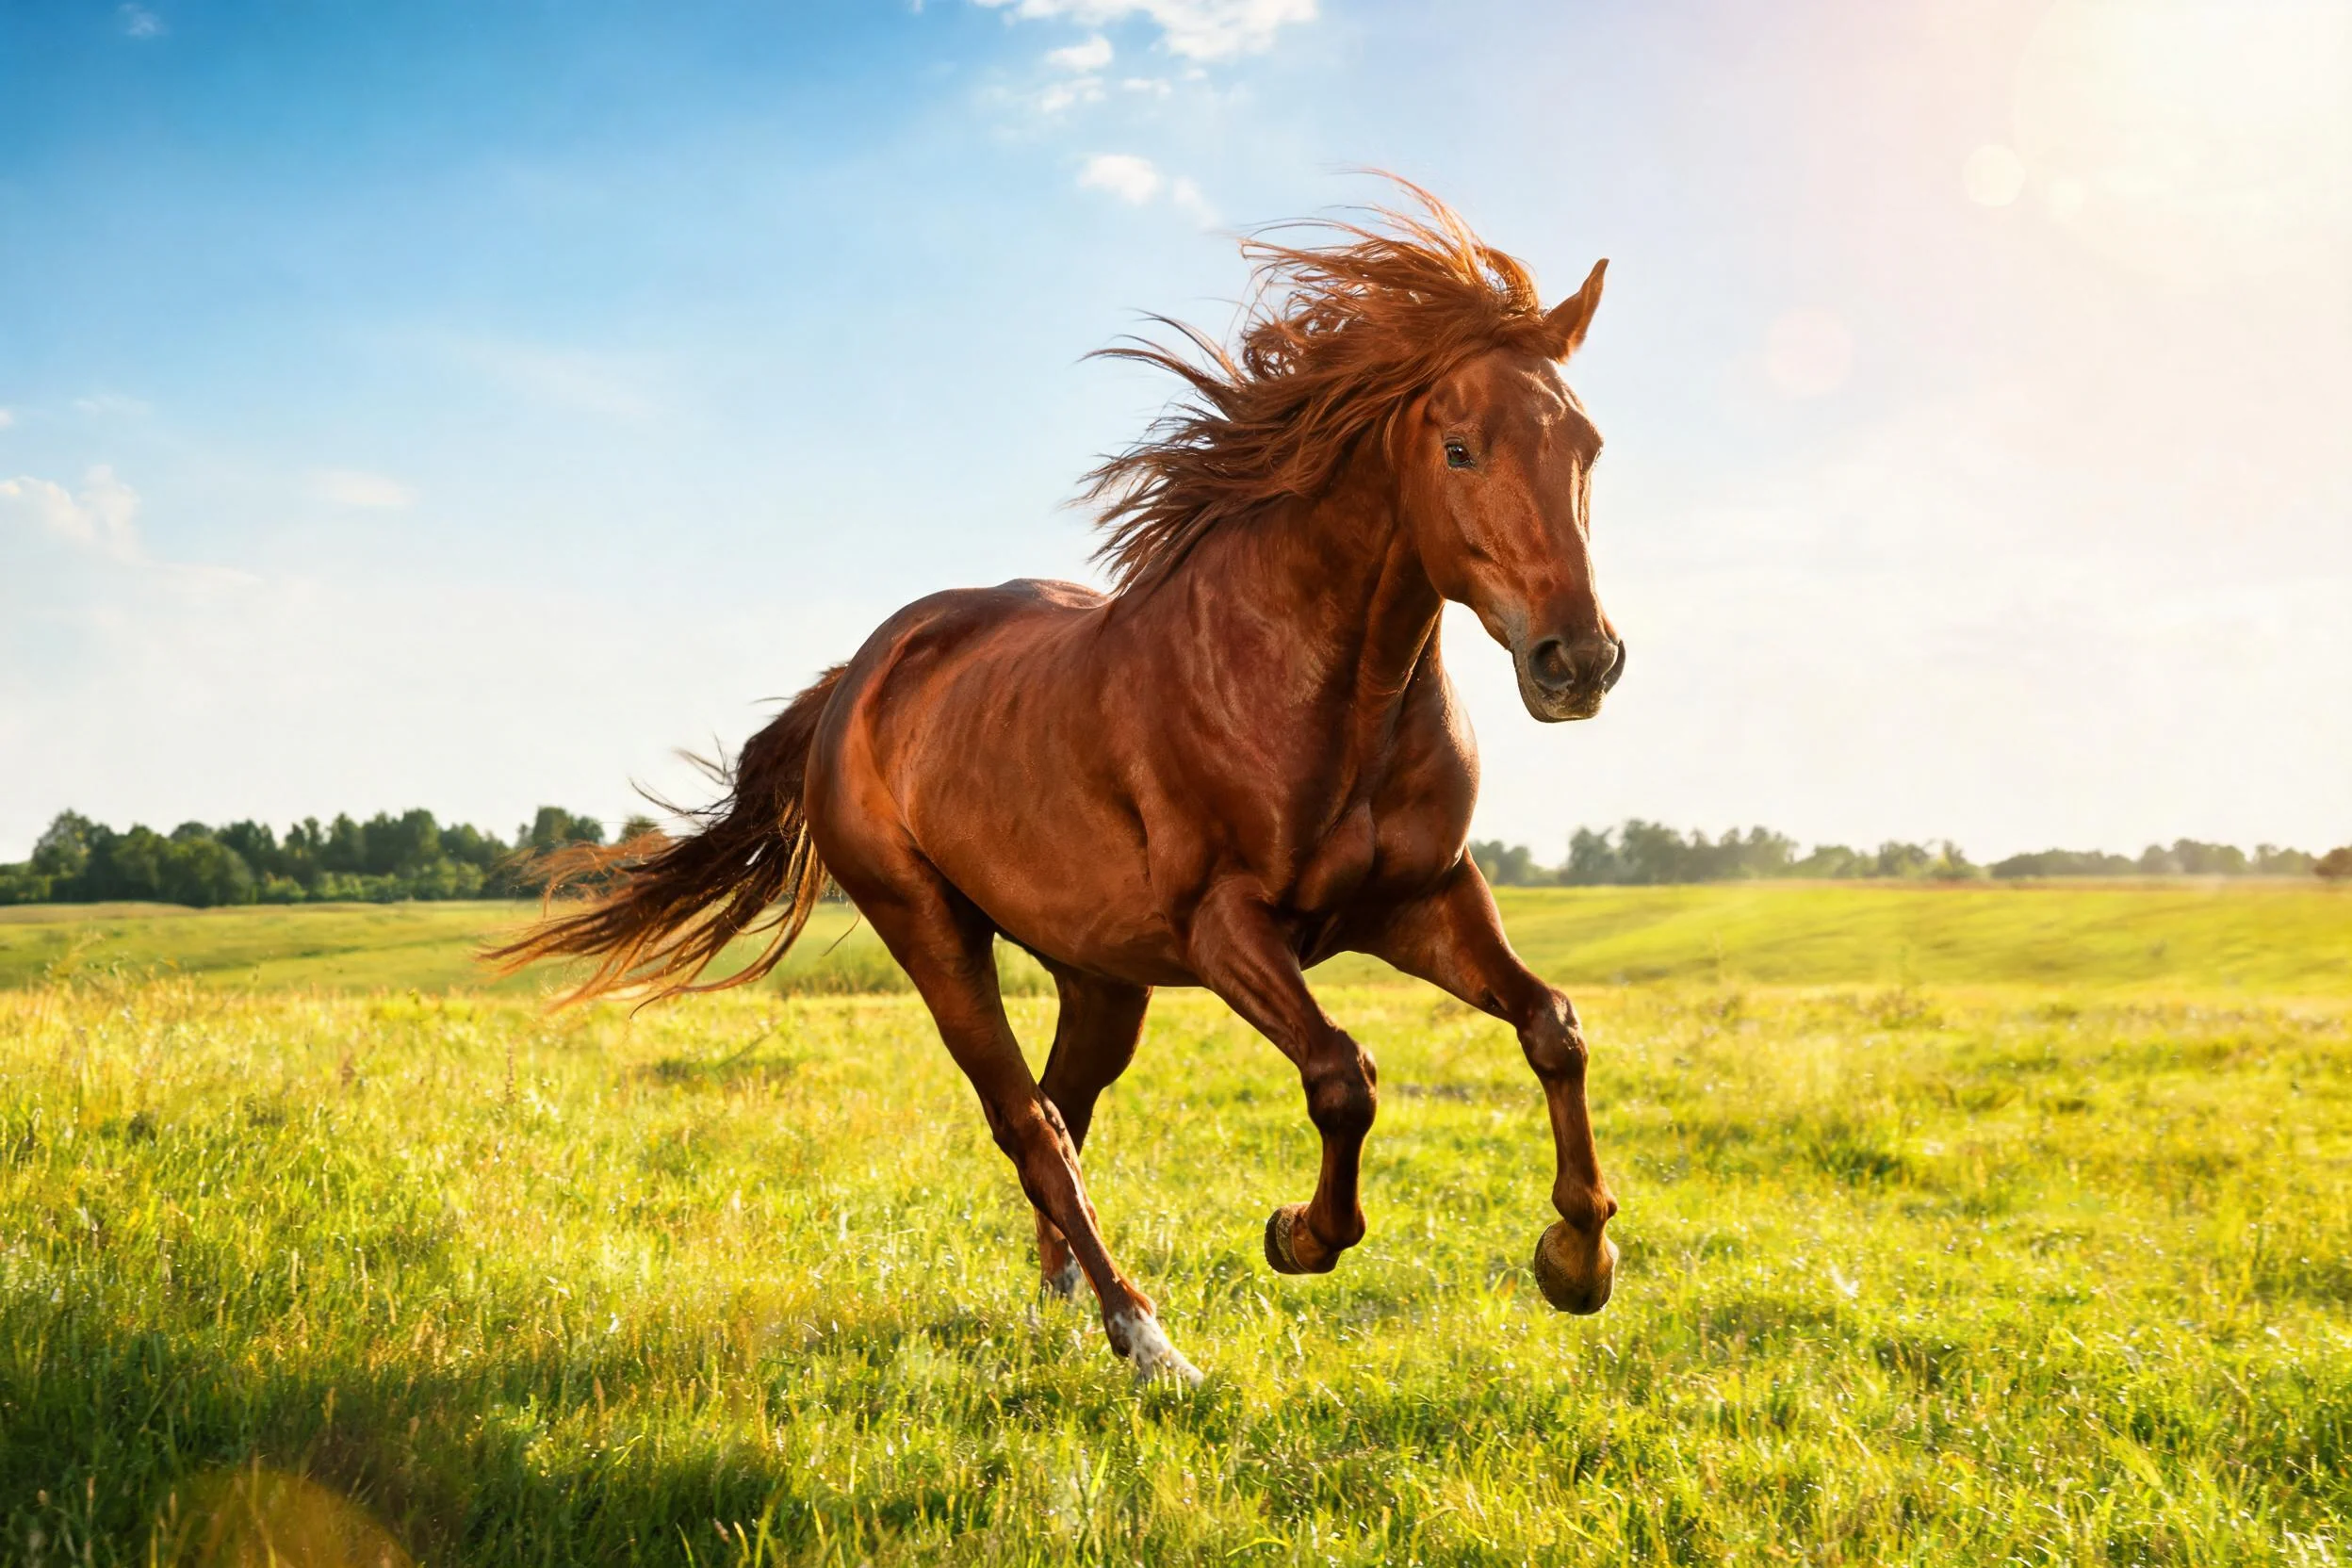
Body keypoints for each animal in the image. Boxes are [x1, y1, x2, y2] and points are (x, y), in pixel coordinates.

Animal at [491, 184, 1626, 1383]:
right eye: (1458, 448)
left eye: (1588, 446)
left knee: (1062, 1111)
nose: (1578, 660)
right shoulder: (1228, 927)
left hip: (1100, 976)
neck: (1314, 685)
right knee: (1028, 1123)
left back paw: (1062, 1305)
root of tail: (857, 680)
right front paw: (1299, 1234)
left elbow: (1552, 1024)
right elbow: (1342, 1073)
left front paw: (1578, 1258)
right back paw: (1145, 1336)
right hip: (935, 934)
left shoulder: (1422, 898)